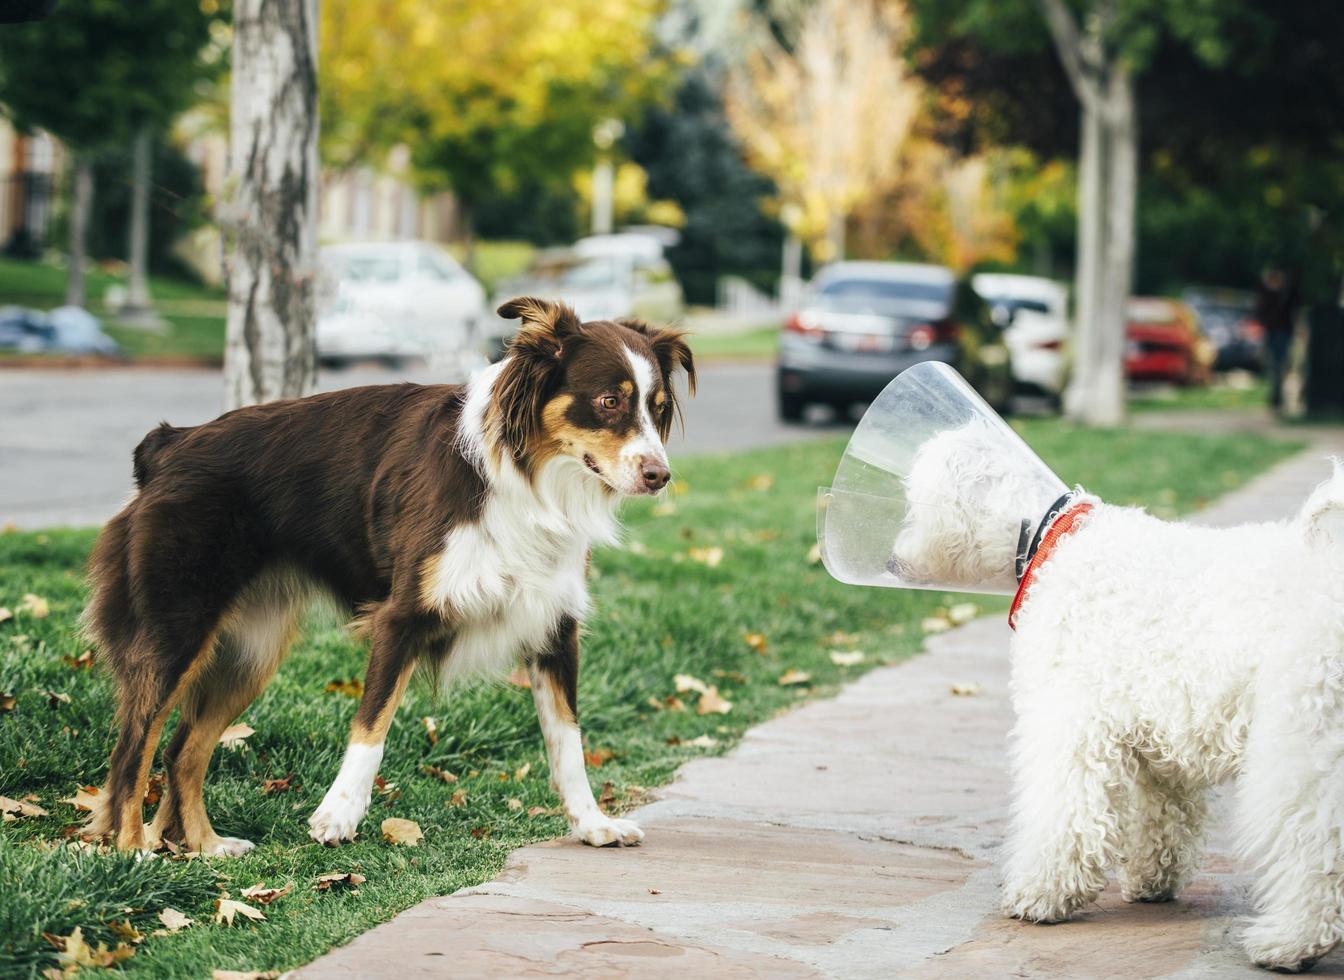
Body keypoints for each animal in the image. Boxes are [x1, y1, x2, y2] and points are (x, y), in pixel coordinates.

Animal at [81, 298, 693, 854]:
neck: (526, 480)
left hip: (251, 649)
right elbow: (371, 724)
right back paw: (132, 850)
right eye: (609, 402)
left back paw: (206, 847)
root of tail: (170, 443)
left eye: (658, 407)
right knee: (134, 746)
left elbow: (568, 739)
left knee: (182, 748)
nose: (660, 476)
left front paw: (592, 824)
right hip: (176, 630)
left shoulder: (553, 624)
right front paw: (338, 815)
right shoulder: (401, 616)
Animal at [892, 422, 1344, 973]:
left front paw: (1039, 895)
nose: (893, 558)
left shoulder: (1069, 722)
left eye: (913, 502)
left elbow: (1065, 816)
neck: (1050, 537)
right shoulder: (1161, 740)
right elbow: (1163, 816)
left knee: (1313, 847)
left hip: (1303, 739)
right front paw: (1152, 880)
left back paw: (1290, 942)